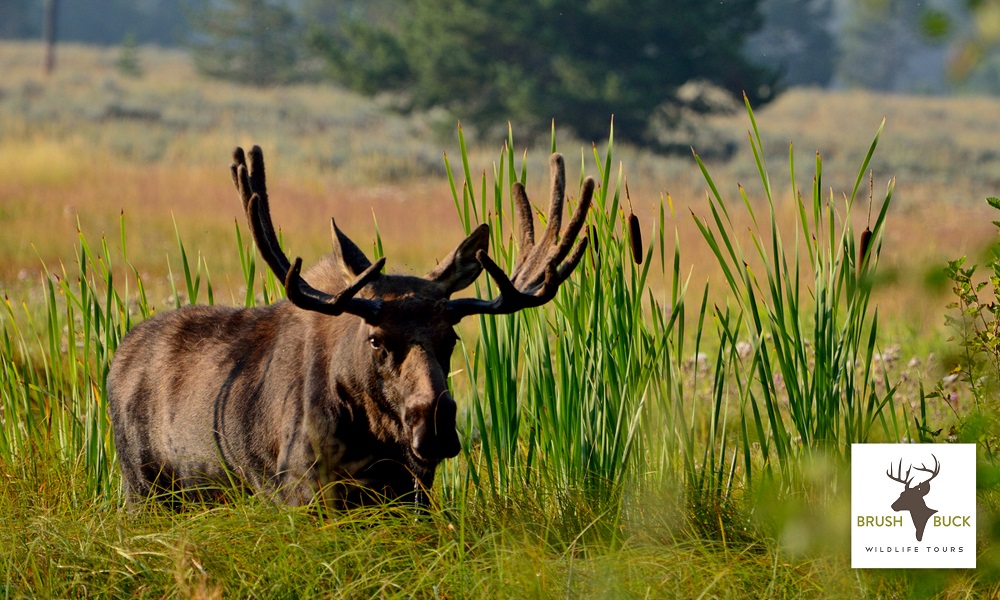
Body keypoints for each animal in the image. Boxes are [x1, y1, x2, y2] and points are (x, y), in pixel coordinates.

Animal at [107, 148, 592, 508]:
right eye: (376, 339)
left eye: (451, 337)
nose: (434, 424)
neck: (372, 437)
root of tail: (116, 360)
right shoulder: (298, 491)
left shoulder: (410, 495)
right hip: (142, 489)